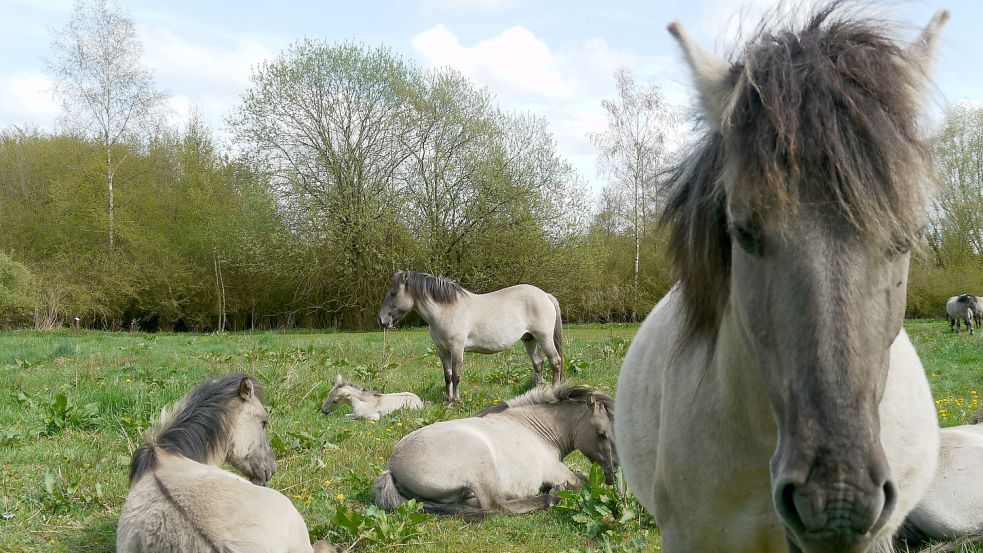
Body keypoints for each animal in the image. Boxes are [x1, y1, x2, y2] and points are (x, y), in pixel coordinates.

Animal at [374, 382, 616, 516]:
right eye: (602, 433)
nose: (613, 475)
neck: (535, 429)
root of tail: (391, 468)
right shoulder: (557, 471)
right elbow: (581, 481)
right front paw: (559, 490)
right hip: (481, 466)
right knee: (496, 506)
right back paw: (550, 498)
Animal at [376, 270, 560, 404]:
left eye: (393, 293)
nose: (381, 320)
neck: (446, 310)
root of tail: (545, 295)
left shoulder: (457, 348)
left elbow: (456, 374)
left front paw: (455, 401)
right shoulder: (442, 350)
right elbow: (447, 375)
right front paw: (447, 399)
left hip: (544, 337)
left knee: (555, 361)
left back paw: (554, 390)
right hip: (529, 339)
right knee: (538, 363)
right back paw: (535, 391)